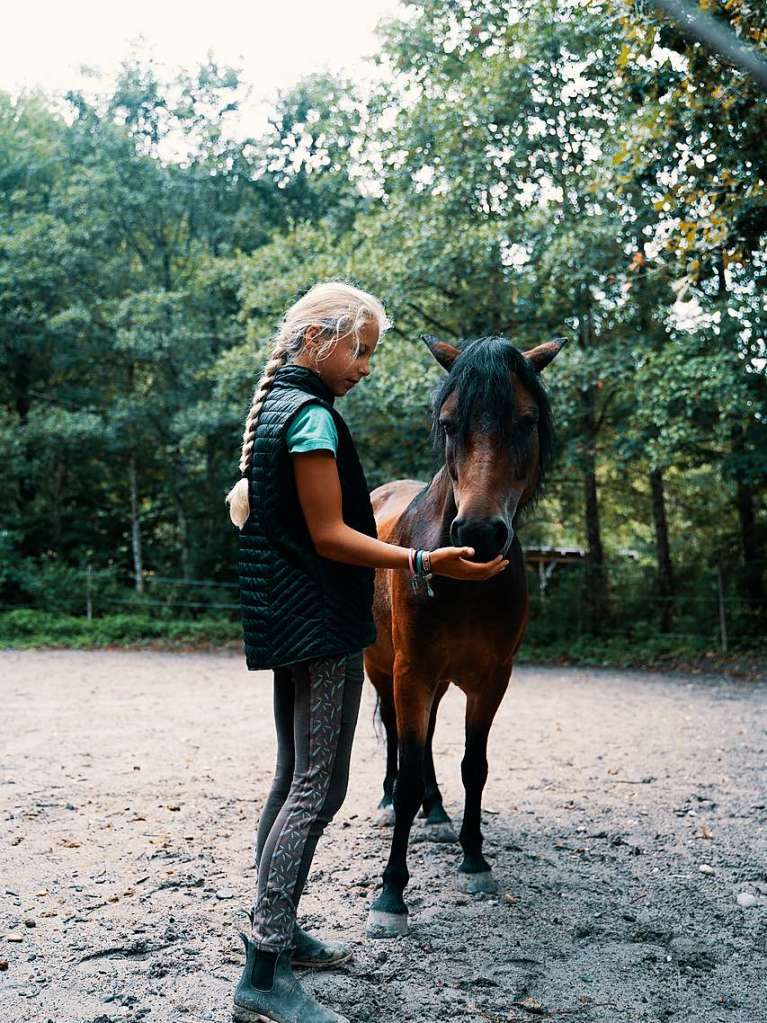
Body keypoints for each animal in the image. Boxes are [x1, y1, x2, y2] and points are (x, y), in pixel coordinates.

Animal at [364, 333, 568, 937]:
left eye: (527, 420)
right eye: (450, 423)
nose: (479, 533)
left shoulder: (491, 679)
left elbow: (473, 767)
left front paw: (474, 859)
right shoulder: (410, 673)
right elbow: (409, 767)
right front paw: (391, 895)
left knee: (429, 739)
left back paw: (435, 813)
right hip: (383, 671)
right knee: (397, 740)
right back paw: (390, 802)